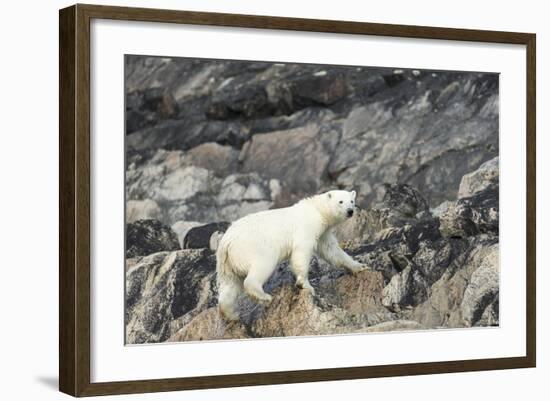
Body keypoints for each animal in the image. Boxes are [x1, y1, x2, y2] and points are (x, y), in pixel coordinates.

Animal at [218, 189, 368, 320]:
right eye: (341, 201)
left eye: (352, 201)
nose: (350, 211)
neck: (317, 210)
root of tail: (226, 241)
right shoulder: (307, 227)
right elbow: (302, 251)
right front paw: (306, 285)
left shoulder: (323, 232)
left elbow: (331, 250)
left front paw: (360, 266)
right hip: (252, 248)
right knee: (262, 267)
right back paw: (264, 297)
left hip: (227, 262)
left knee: (230, 284)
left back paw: (231, 314)